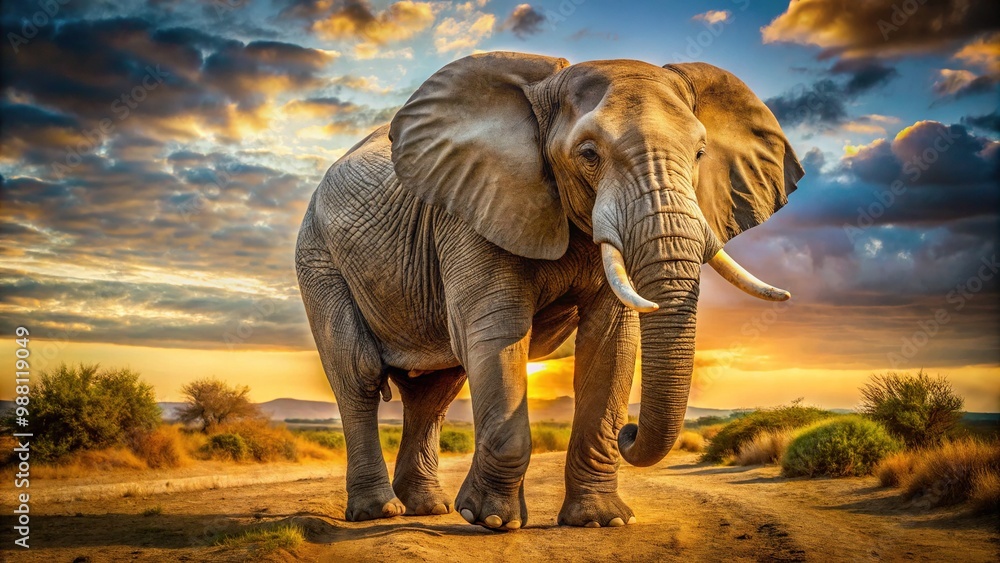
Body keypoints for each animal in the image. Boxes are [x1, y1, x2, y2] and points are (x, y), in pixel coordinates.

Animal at [295, 51, 803, 530]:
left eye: (700, 154)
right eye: (589, 154)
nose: (629, 432)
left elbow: (611, 341)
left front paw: (600, 520)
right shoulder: (472, 207)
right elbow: (498, 331)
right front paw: (489, 520)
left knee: (435, 392)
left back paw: (428, 508)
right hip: (318, 257)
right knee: (359, 373)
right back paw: (379, 512)